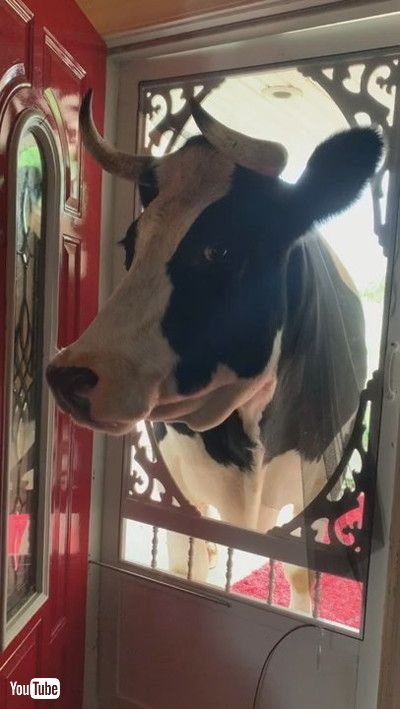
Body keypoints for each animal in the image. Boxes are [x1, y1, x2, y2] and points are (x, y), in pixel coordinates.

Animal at [46, 90, 382, 612]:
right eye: (129, 244)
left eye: (218, 250)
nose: (68, 375)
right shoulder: (184, 492)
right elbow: (190, 564)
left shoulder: (319, 484)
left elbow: (301, 575)